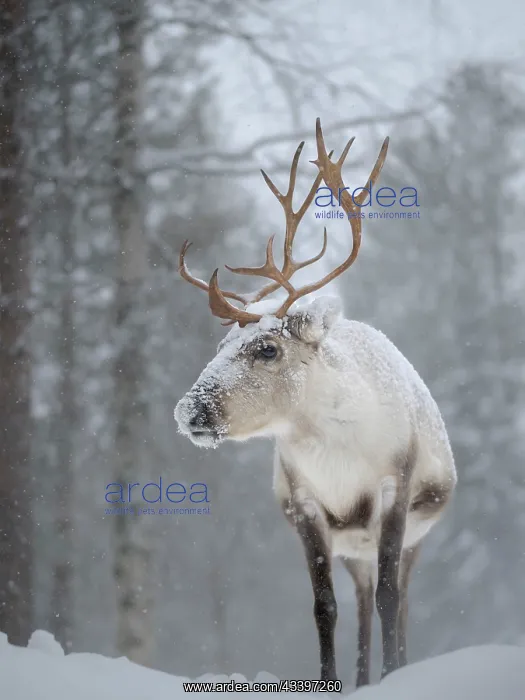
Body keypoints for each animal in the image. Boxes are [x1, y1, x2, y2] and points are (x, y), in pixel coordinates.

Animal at [174, 118, 457, 687]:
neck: (337, 454)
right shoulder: (305, 503)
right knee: (363, 597)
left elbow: (392, 599)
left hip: (416, 533)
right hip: (355, 548)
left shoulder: (395, 486)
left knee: (399, 597)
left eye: (267, 347)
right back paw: (366, 677)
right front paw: (334, 684)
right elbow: (324, 606)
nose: (190, 411)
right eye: (220, 345)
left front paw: (395, 675)